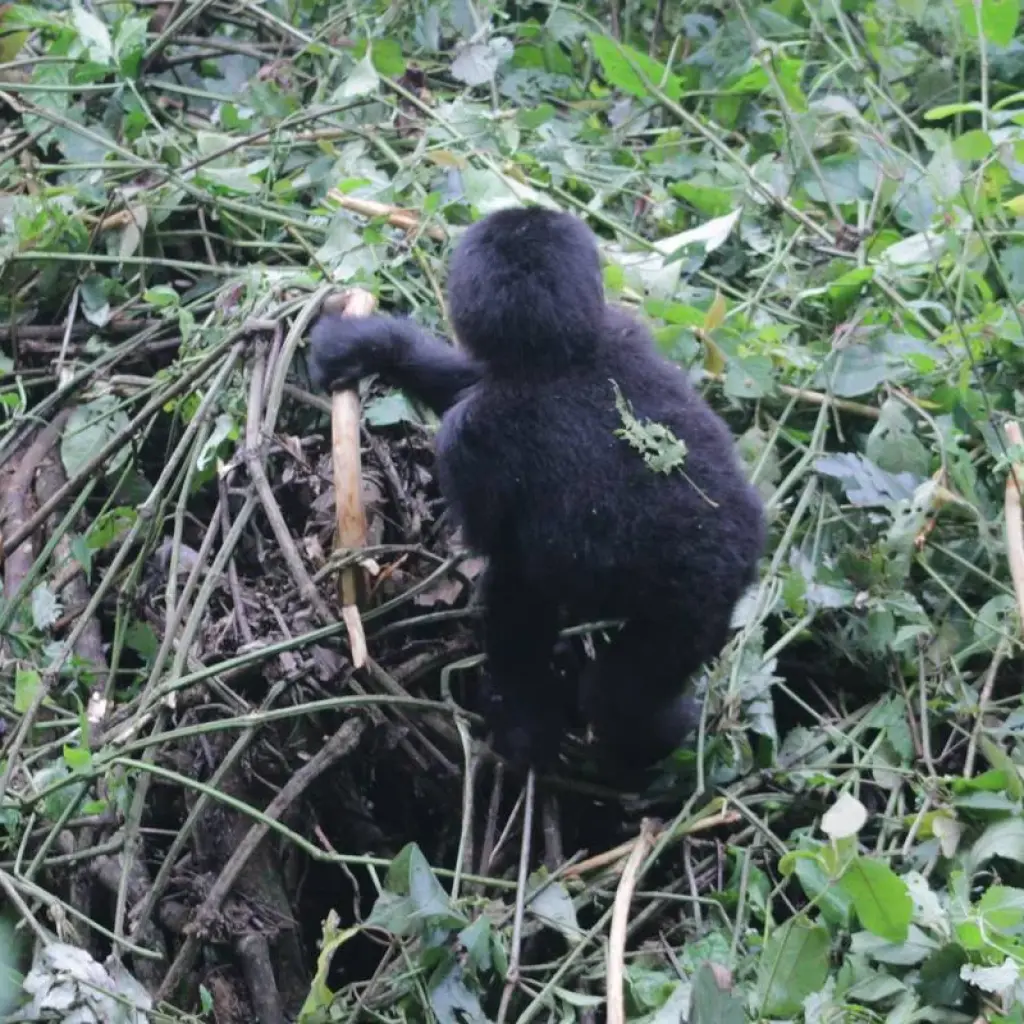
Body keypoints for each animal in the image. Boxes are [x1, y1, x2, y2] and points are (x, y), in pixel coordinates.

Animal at [308, 206, 766, 774]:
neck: (560, 360)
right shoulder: (622, 328)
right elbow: (465, 377)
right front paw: (370, 344)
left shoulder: (470, 439)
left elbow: (508, 570)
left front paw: (523, 721)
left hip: (683, 618)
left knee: (614, 692)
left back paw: (647, 738)